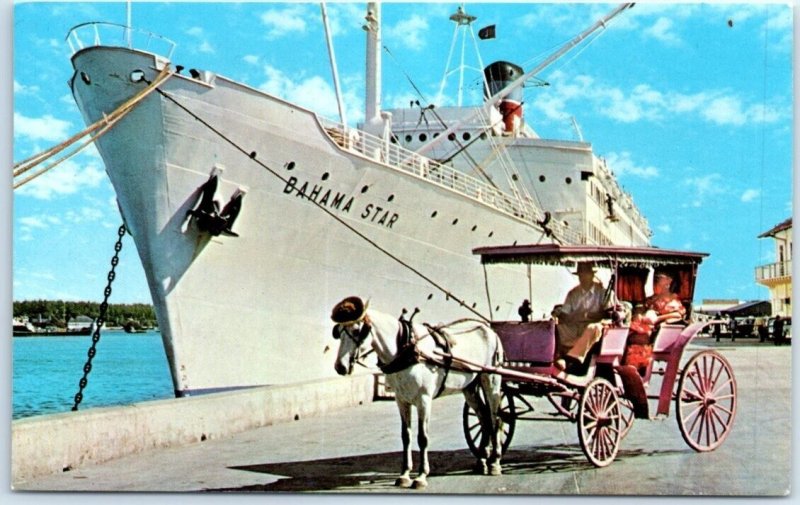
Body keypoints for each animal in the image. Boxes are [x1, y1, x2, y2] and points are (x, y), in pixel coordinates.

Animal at [328, 296, 504, 488]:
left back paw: (495, 462)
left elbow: (422, 437)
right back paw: (482, 461)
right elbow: (406, 436)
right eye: (338, 331)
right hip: (470, 387)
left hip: (491, 380)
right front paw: (405, 474)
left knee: (495, 418)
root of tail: (489, 329)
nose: (340, 367)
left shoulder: (423, 400)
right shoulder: (401, 400)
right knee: (484, 417)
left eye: (357, 330)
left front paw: (421, 476)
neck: (405, 349)